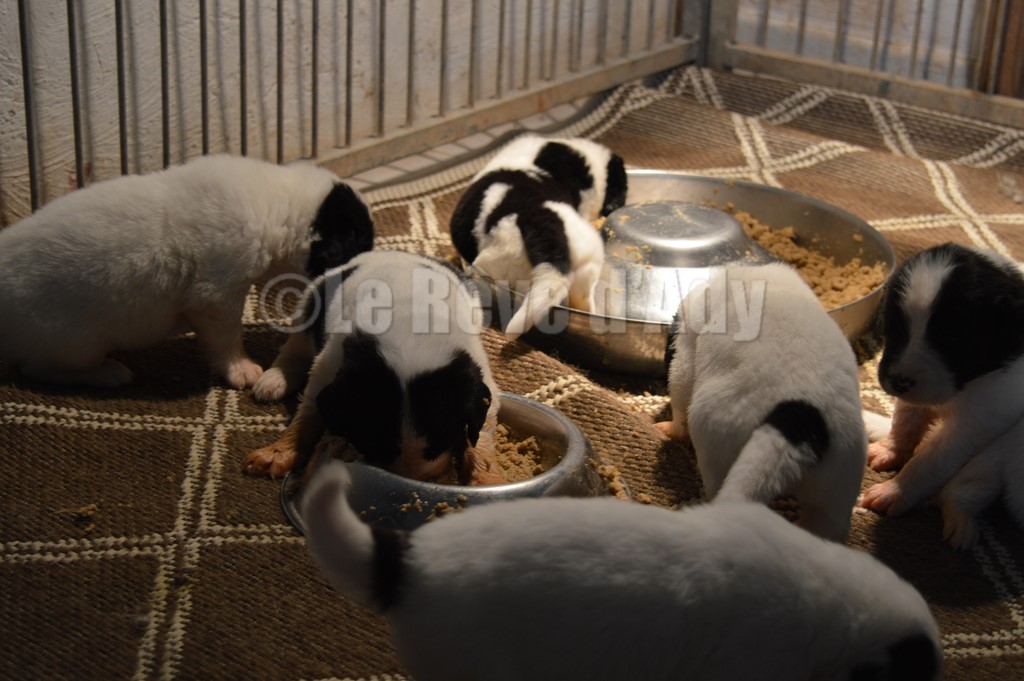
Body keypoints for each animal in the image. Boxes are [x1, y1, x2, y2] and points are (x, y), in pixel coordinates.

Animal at [0, 154, 373, 389]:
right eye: (352, 246)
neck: (278, 204)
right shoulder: (216, 297)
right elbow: (227, 338)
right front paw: (241, 370)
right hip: (75, 342)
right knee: (40, 368)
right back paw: (108, 373)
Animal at [244, 250, 505, 485]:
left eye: (442, 437)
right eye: (378, 438)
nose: (413, 477)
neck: (412, 329)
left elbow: (483, 432)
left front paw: (486, 478)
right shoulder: (331, 362)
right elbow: (308, 412)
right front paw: (277, 453)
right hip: (310, 303)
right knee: (294, 349)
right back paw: (272, 380)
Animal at [656, 263, 867, 542]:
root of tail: (800, 422)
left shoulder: (686, 353)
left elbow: (679, 392)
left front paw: (671, 428)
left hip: (714, 434)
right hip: (839, 486)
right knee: (827, 523)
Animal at [860, 242, 1024, 549]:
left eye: (951, 340)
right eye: (895, 328)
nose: (899, 381)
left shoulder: (974, 423)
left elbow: (930, 461)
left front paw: (896, 491)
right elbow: (906, 422)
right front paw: (891, 450)